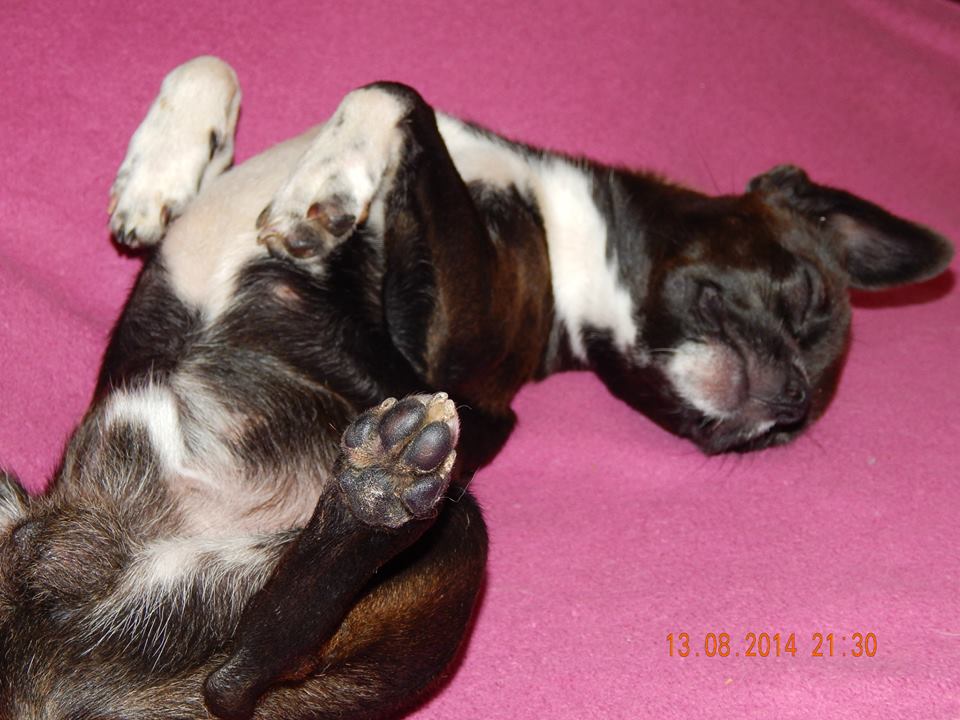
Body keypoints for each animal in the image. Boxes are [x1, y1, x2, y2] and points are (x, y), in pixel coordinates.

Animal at [0, 56, 953, 719]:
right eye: (807, 292)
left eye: (779, 435)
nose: (786, 400)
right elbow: (224, 66)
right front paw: (159, 172)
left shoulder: (452, 358)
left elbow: (396, 93)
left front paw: (322, 187)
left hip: (456, 528)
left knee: (241, 679)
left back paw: (374, 497)